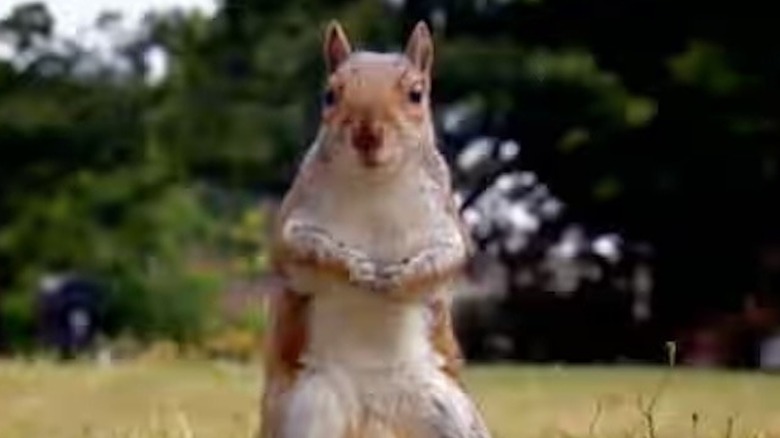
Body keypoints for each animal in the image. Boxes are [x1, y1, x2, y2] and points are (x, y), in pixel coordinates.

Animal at [259, 20, 492, 438]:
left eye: (416, 94)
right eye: (330, 94)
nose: (367, 134)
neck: (375, 184)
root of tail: (373, 410)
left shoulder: (445, 221)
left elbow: (448, 258)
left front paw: (402, 278)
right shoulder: (292, 221)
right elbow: (303, 248)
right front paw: (354, 265)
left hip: (449, 414)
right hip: (309, 407)